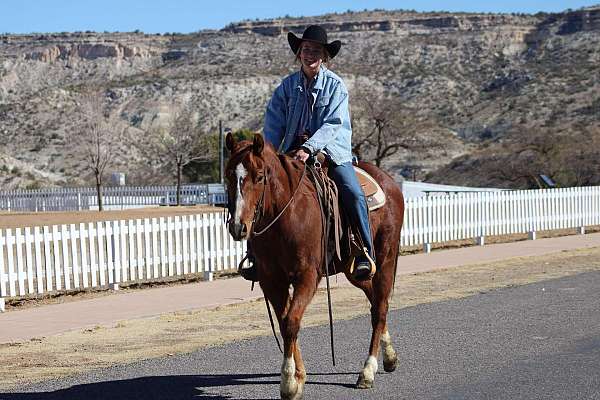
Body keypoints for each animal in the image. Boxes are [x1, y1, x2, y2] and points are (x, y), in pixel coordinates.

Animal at [227, 133, 406, 398]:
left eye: (259, 176)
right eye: (229, 175)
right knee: (375, 303)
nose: (238, 227)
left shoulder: (307, 276)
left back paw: (368, 371)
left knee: (380, 308)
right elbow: (285, 323)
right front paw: (298, 377)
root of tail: (390, 182)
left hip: (385, 259)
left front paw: (289, 382)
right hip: (355, 271)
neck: (286, 216)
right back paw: (389, 357)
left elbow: (292, 322)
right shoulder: (272, 280)